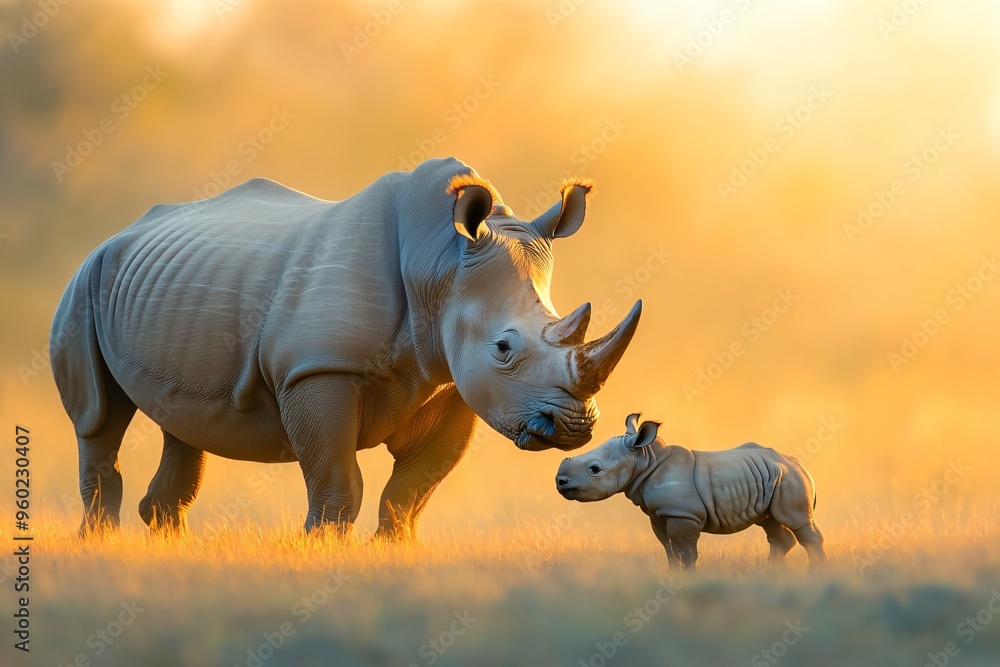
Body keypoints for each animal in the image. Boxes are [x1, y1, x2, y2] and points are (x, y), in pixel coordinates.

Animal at [50, 157, 642, 538]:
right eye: (503, 347)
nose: (575, 428)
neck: (440, 266)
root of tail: (118, 234)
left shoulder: (453, 384)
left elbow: (410, 492)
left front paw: (394, 553)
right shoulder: (316, 370)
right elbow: (338, 480)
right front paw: (321, 551)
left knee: (181, 423)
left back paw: (165, 538)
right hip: (84, 282)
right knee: (99, 419)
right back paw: (100, 541)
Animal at [555, 414, 826, 568]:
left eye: (594, 469)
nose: (560, 482)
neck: (646, 460)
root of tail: (797, 463)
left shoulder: (682, 514)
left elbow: (685, 551)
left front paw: (688, 578)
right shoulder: (659, 514)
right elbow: (668, 549)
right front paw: (673, 575)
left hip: (789, 479)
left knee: (797, 522)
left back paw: (816, 572)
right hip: (769, 477)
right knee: (770, 522)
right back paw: (769, 573)